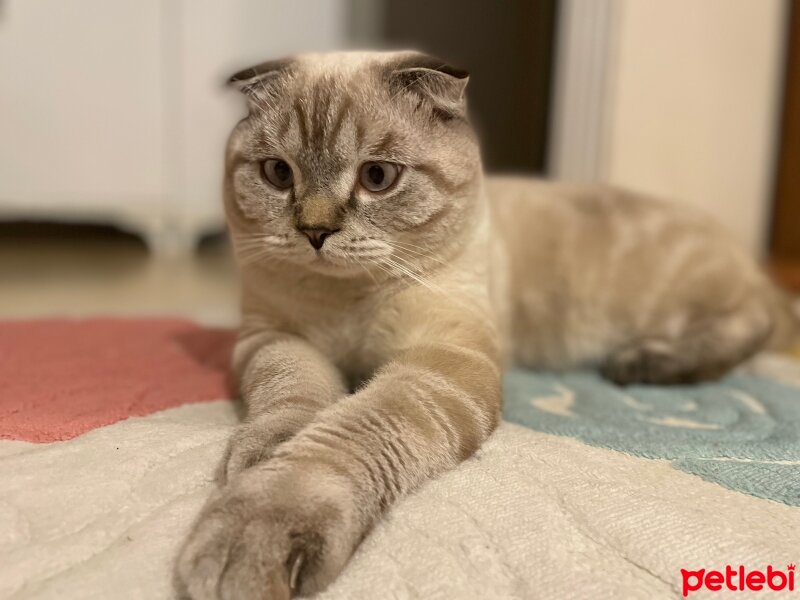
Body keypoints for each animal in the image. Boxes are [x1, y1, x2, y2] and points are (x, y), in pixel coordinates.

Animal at [173, 52, 792, 600]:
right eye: (278, 173)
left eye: (377, 177)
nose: (315, 232)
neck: (346, 300)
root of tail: (739, 249)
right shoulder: (274, 337)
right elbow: (293, 394)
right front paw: (267, 452)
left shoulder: (443, 356)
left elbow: (341, 437)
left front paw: (257, 524)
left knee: (754, 326)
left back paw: (642, 363)